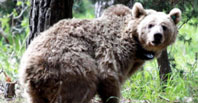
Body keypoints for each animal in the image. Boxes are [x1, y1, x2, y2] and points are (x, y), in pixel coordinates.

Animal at [18, 2, 181, 103]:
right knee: (79, 91)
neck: (136, 47)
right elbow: (109, 77)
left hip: (32, 89)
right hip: (71, 68)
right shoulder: (112, 51)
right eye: (150, 25)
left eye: (164, 26)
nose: (157, 36)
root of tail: (33, 69)